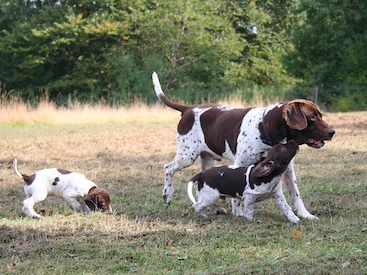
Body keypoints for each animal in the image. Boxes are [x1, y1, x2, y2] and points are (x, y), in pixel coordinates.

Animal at [152, 72, 336, 221]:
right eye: (312, 117)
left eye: (320, 115)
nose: (332, 132)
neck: (265, 128)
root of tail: (189, 109)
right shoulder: (240, 163)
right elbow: (238, 195)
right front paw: (239, 212)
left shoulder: (287, 169)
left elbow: (296, 195)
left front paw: (305, 215)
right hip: (186, 157)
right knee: (168, 168)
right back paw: (167, 194)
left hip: (207, 161)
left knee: (202, 190)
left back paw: (215, 208)